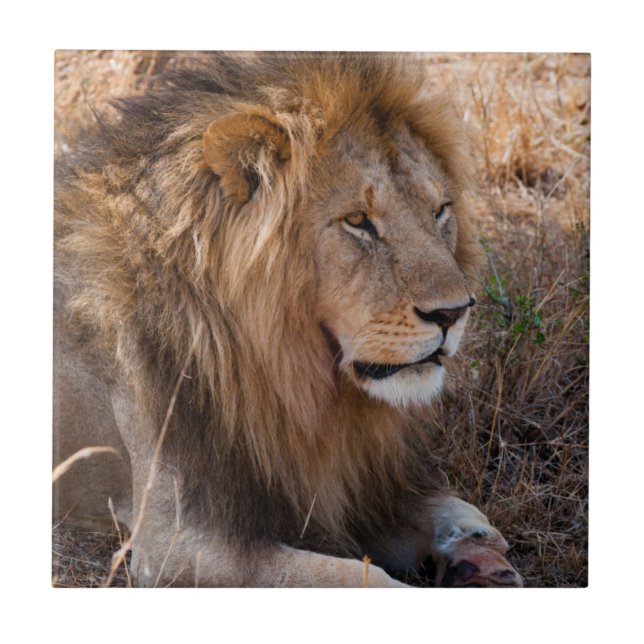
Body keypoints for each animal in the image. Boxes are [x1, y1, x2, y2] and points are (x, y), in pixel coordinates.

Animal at [53, 52, 522, 587]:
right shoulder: (177, 545)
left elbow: (460, 510)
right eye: (357, 221)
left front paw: (478, 554)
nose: (453, 312)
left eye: (441, 211)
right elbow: (358, 579)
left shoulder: (338, 485)